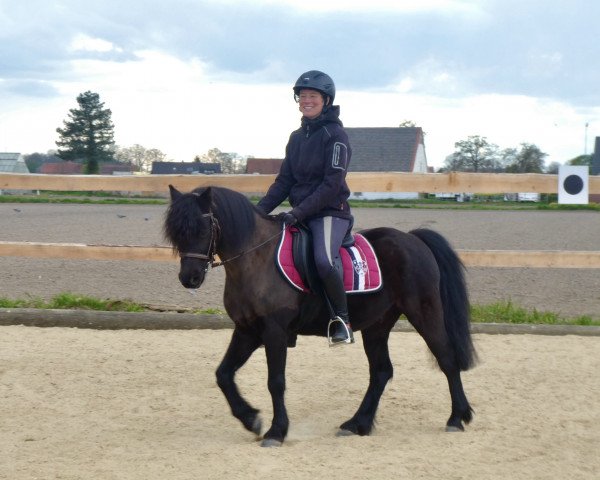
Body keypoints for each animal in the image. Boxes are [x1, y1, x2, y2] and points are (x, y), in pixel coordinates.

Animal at [162, 186, 476, 448]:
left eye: (203, 228)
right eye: (176, 233)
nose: (189, 278)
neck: (256, 259)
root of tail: (412, 238)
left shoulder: (274, 332)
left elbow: (275, 381)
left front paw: (276, 432)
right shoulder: (247, 330)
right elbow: (223, 375)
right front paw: (251, 420)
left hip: (423, 311)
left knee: (447, 358)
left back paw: (457, 418)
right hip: (377, 325)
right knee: (381, 372)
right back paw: (357, 424)